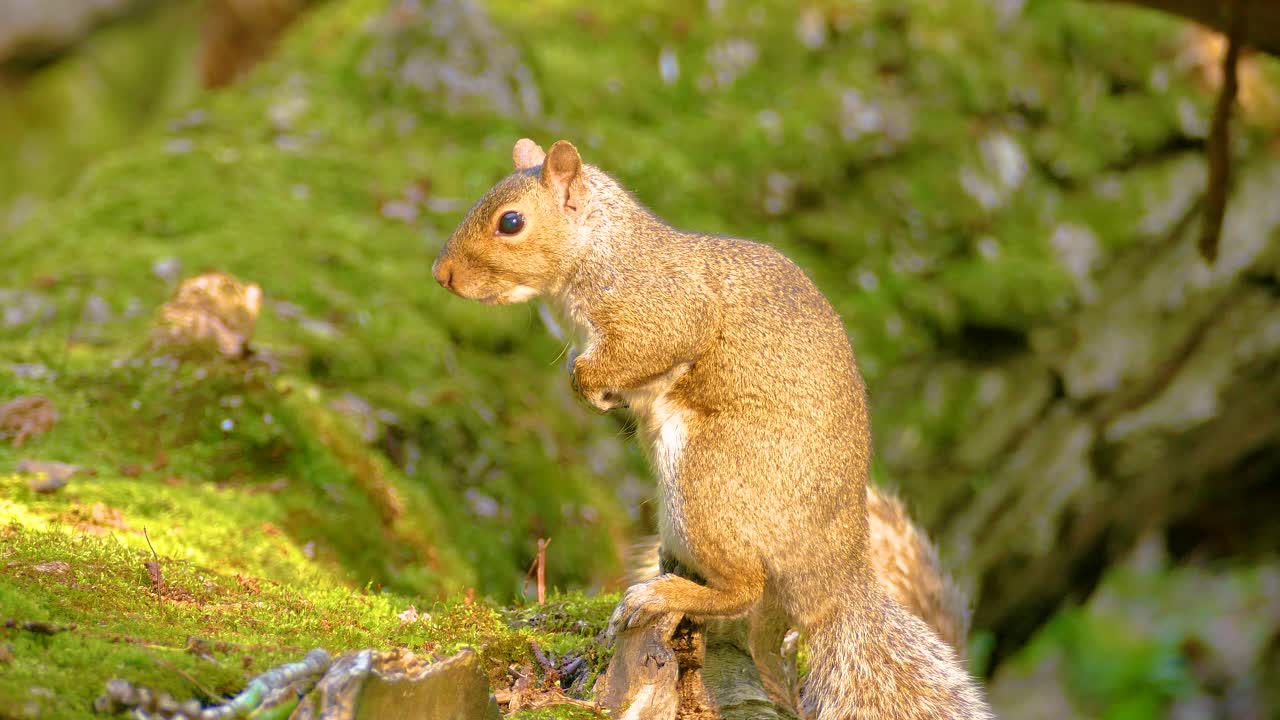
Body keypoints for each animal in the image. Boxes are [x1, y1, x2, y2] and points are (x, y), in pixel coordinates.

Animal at [432, 138, 992, 719]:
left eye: (511, 222)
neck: (603, 246)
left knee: (745, 588)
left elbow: (650, 346)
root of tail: (834, 577)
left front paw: (586, 382)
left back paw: (663, 595)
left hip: (706, 481)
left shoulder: (662, 308)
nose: (441, 274)